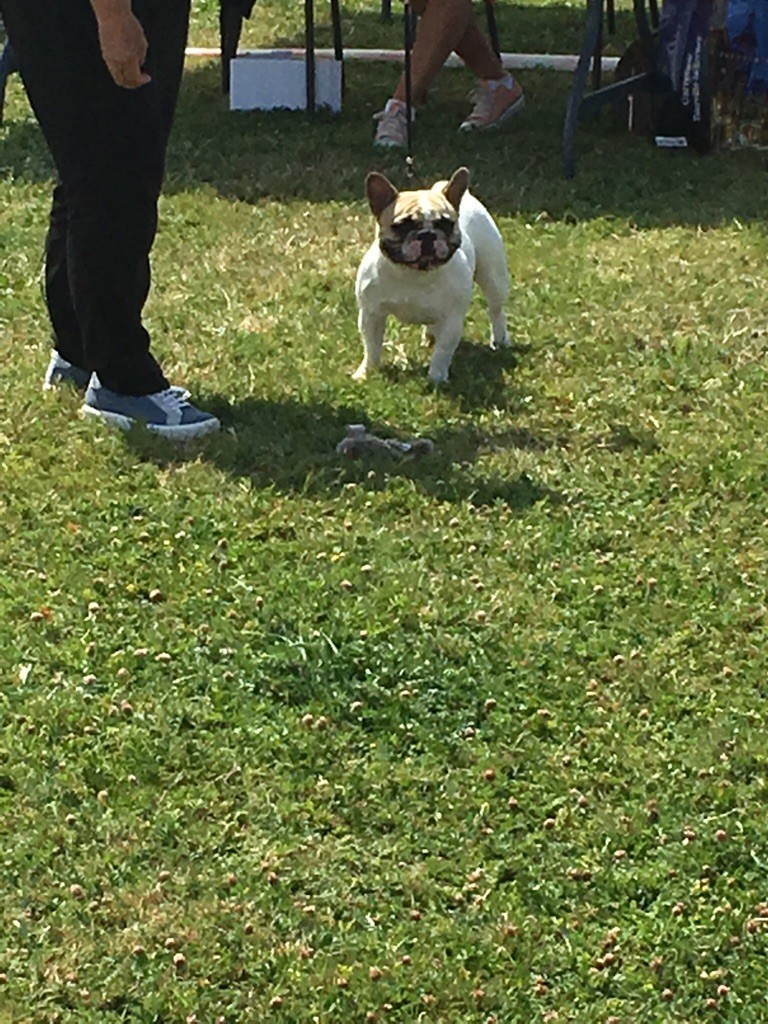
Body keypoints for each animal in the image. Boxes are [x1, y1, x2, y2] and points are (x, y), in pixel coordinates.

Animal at [354, 167, 512, 385]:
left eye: (446, 224)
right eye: (402, 225)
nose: (427, 234)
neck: (415, 274)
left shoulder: (452, 320)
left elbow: (443, 352)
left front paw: (436, 377)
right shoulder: (372, 314)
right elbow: (371, 346)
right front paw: (367, 372)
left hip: (493, 277)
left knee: (496, 310)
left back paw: (500, 339)